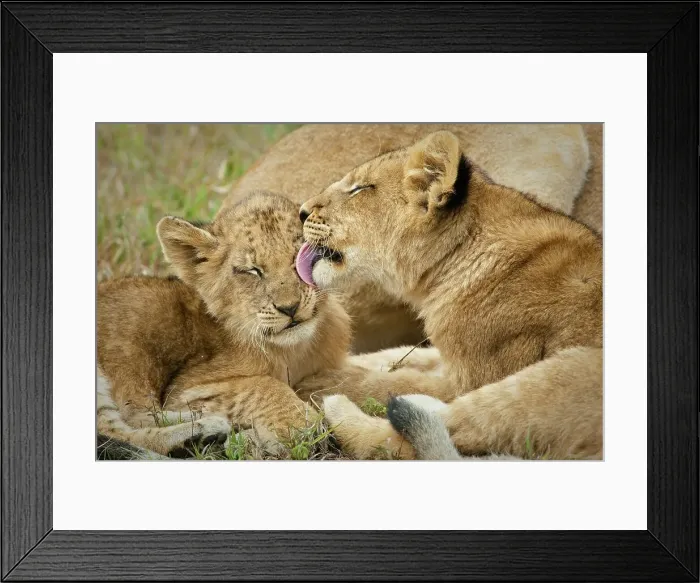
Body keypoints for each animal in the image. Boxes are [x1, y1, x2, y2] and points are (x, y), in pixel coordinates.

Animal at [296, 131, 603, 460]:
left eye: (360, 189)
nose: (301, 212)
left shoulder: (469, 380)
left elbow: (387, 383)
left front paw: (318, 381)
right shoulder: (446, 356)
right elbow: (401, 354)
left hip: (568, 372)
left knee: (422, 434)